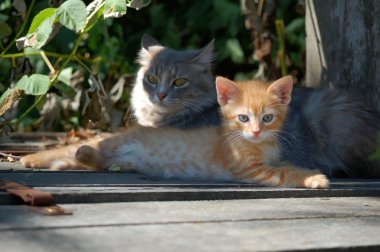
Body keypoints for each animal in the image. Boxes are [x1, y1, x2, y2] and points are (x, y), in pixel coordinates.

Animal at [20, 76, 328, 188]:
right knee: (85, 150)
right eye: (243, 118)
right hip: (114, 143)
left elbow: (285, 164)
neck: (258, 145)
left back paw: (76, 159)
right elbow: (286, 172)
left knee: (95, 161)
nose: (254, 131)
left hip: (118, 160)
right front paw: (315, 178)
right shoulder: (249, 169)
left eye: (267, 118)